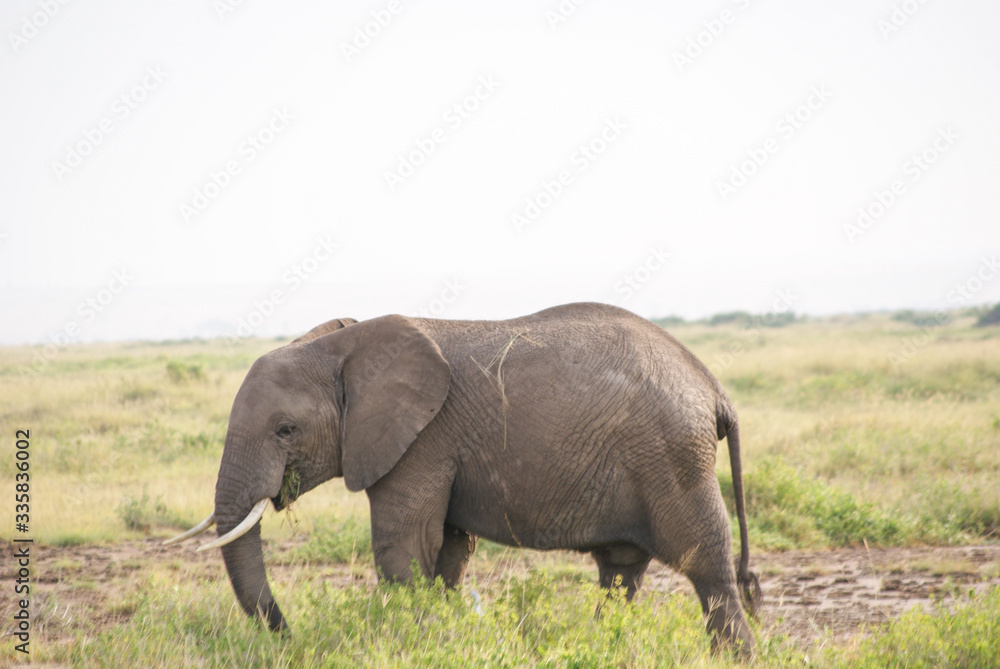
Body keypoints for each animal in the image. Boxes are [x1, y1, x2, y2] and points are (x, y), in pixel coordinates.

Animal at [166, 302, 756, 652]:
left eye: (286, 430)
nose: (287, 638)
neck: (345, 347)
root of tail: (714, 387)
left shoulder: (422, 440)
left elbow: (404, 546)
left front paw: (414, 646)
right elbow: (447, 550)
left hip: (674, 458)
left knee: (706, 567)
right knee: (620, 574)